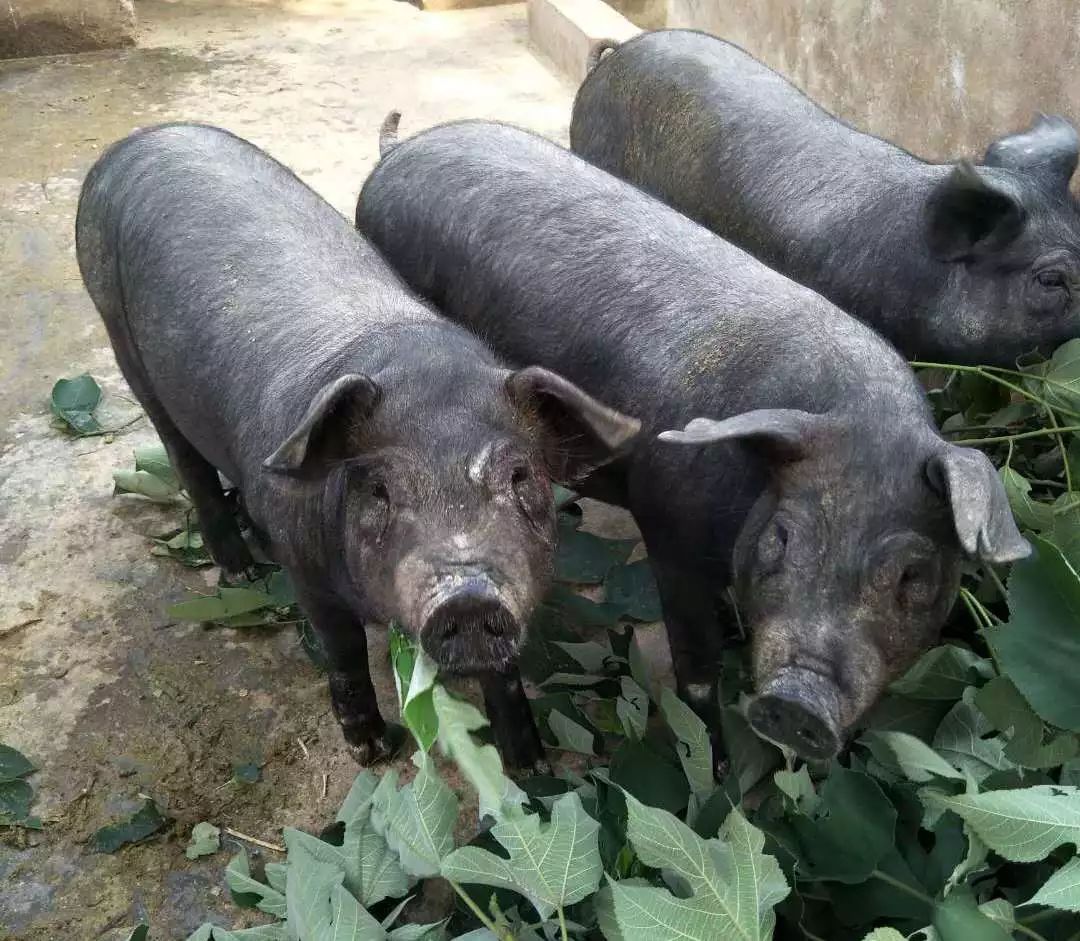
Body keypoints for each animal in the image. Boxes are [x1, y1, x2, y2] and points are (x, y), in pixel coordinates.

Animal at [78, 123, 639, 773]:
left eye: (521, 477)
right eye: (378, 488)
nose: (467, 596)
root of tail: (137, 141)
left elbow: (503, 676)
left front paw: (532, 769)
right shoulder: (308, 573)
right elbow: (342, 651)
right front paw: (371, 751)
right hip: (119, 336)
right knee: (185, 458)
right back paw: (242, 569)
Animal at [356, 117, 1028, 764]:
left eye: (914, 575)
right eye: (781, 539)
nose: (798, 703)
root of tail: (397, 152)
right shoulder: (668, 529)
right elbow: (697, 669)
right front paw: (719, 767)